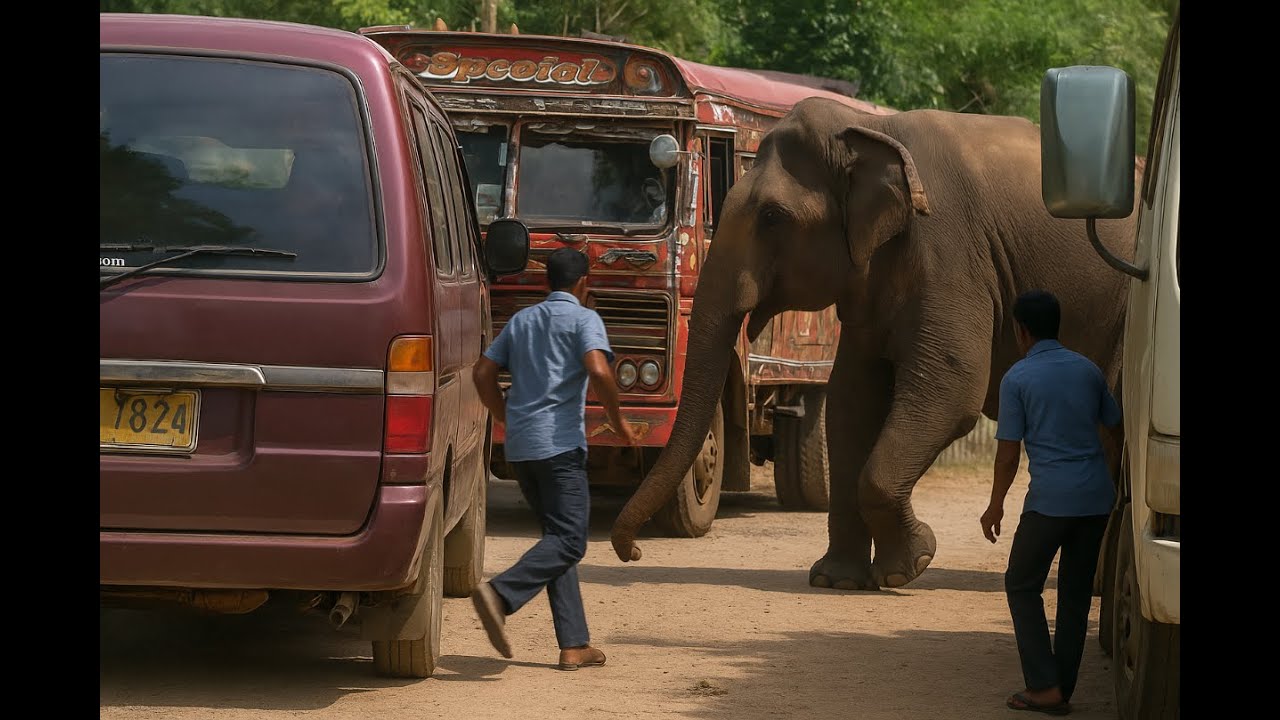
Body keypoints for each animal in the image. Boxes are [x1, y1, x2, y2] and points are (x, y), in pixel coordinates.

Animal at [609, 97, 1137, 590]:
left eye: (773, 216)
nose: (632, 553)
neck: (869, 130)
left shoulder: (950, 251)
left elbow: (951, 386)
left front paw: (911, 565)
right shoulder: (868, 279)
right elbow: (851, 400)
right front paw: (837, 581)